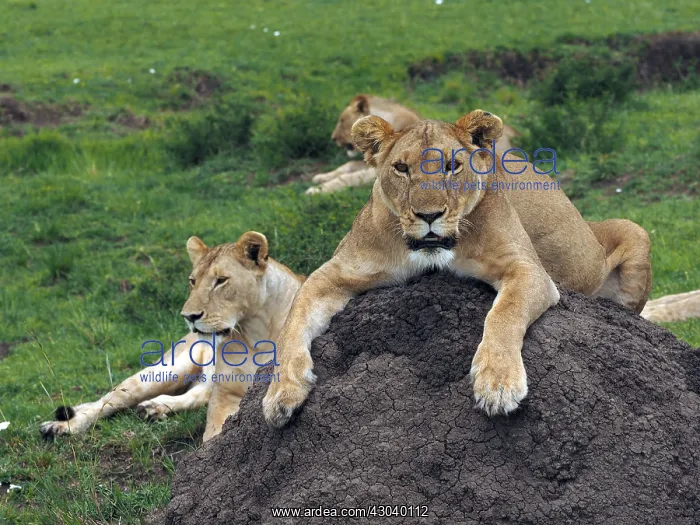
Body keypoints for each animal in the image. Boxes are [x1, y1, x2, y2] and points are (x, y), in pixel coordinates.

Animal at [40, 232, 304, 442]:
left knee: (198, 393)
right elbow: (213, 435)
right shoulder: (226, 393)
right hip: (166, 370)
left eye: (221, 281)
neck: (256, 328)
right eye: (192, 281)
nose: (189, 316)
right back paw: (59, 426)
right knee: (105, 402)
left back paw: (154, 408)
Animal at [263, 110, 651, 427]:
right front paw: (280, 394)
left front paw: (497, 383)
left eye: (452, 166)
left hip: (636, 233)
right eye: (401, 168)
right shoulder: (332, 273)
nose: (429, 215)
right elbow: (291, 325)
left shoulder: (528, 270)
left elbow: (505, 313)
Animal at [305, 94, 519, 194]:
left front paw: (317, 190)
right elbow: (348, 166)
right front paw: (321, 177)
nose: (333, 138)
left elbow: (350, 177)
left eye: (342, 121)